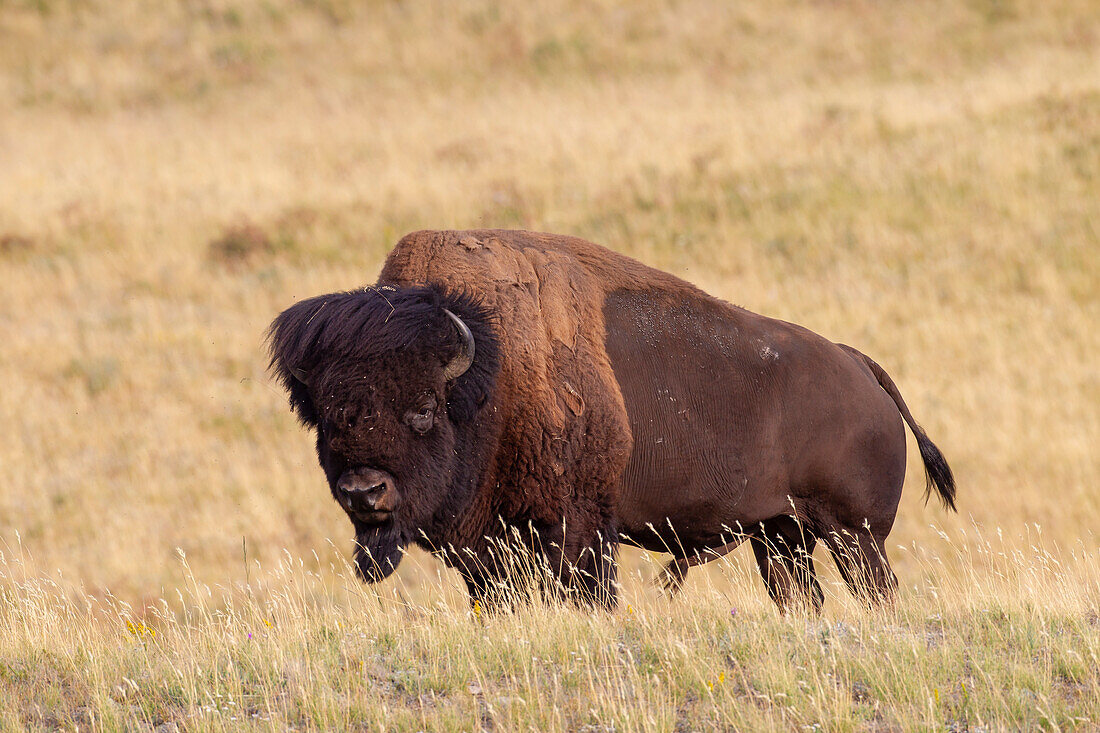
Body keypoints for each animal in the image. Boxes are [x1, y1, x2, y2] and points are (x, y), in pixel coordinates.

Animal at [268, 228, 954, 611]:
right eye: (325, 419)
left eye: (423, 410)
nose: (365, 492)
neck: (487, 375)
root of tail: (858, 366)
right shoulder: (488, 554)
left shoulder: (578, 531)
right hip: (780, 537)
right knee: (800, 595)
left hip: (854, 535)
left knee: (875, 591)